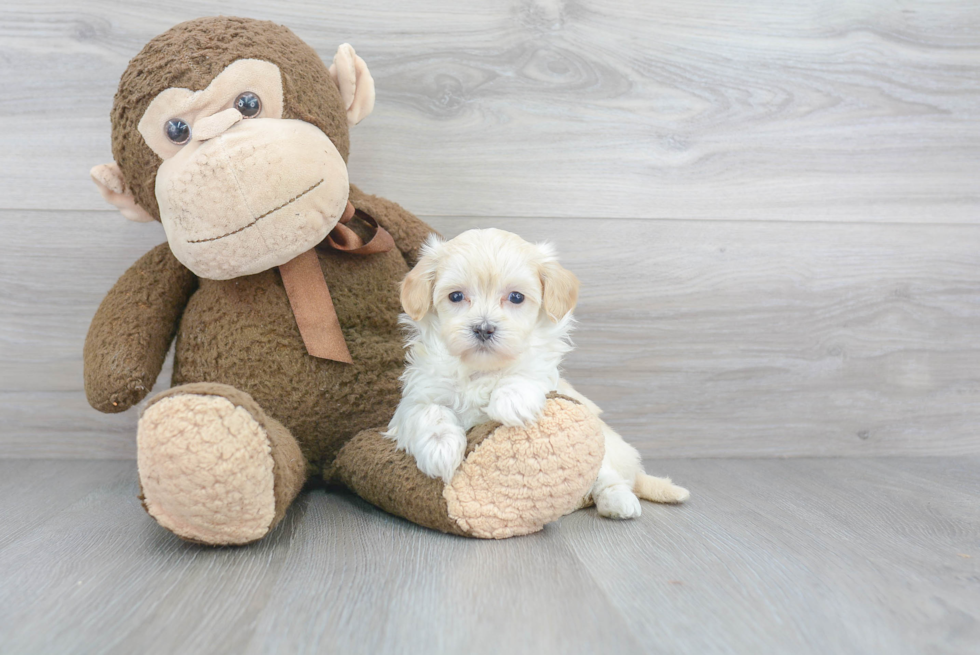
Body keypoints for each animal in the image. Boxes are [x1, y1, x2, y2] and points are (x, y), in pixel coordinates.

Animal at [382, 228, 688, 520]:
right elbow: (428, 412)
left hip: (603, 449)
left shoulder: (546, 374)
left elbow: (527, 371)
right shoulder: (416, 397)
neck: (482, 369)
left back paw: (619, 502)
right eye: (455, 296)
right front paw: (441, 449)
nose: (484, 328)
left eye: (516, 297)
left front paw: (511, 401)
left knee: (606, 477)